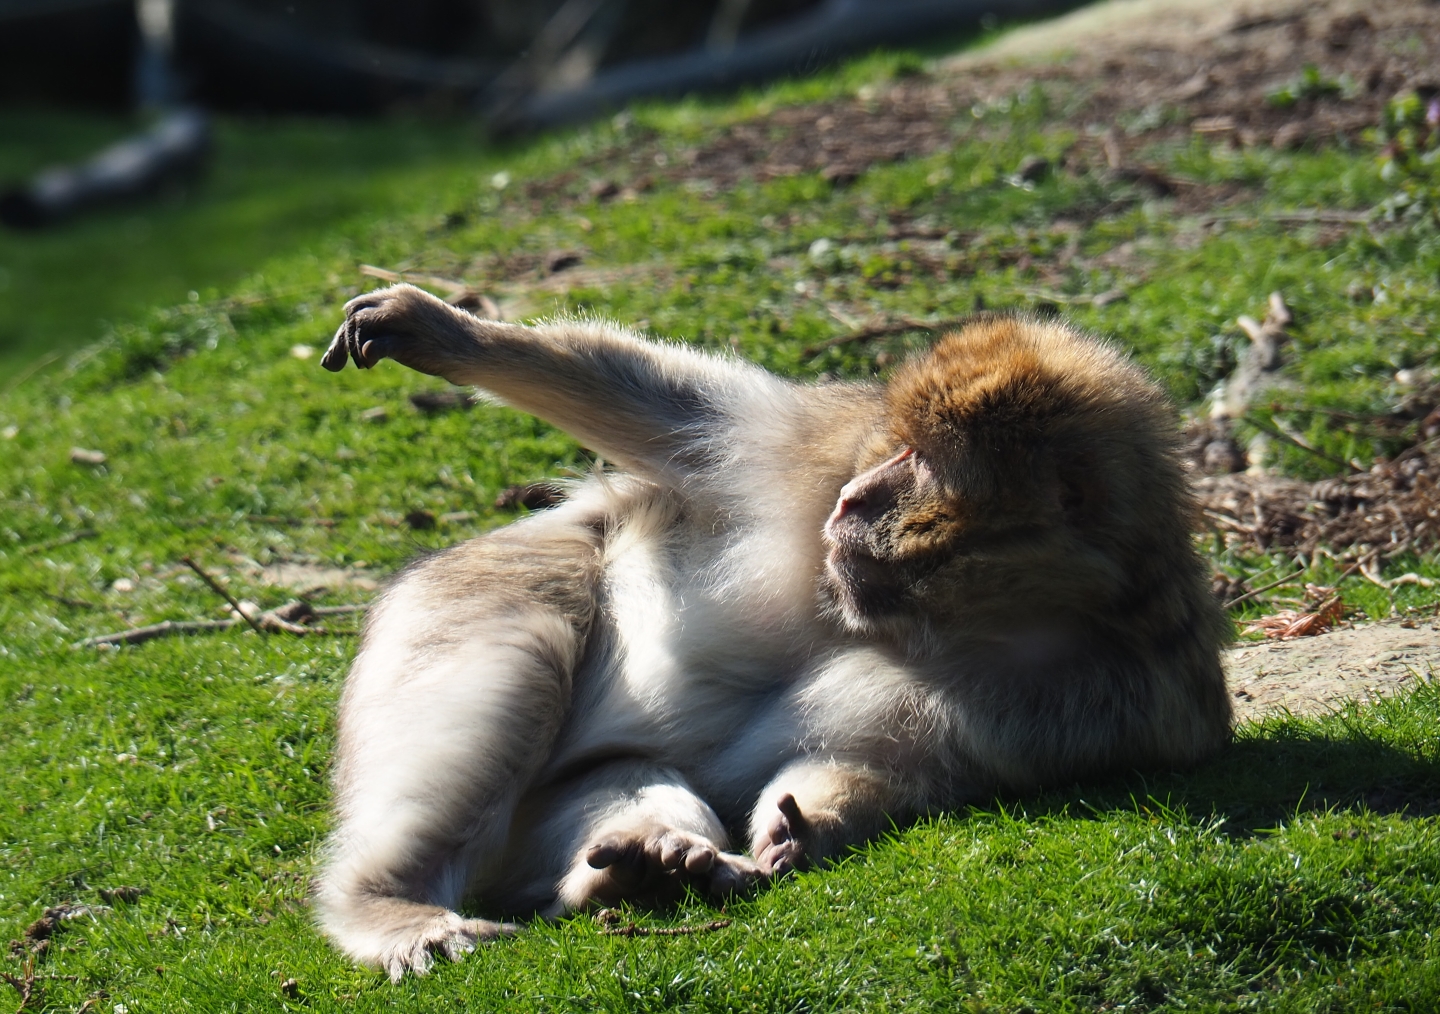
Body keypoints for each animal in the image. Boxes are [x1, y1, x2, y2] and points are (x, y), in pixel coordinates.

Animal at [314, 284, 1232, 981]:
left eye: (922, 464)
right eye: (896, 449)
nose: (856, 499)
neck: (940, 612)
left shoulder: (1119, 699)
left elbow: (895, 764)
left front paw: (806, 827)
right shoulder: (818, 453)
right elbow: (669, 414)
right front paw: (439, 330)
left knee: (611, 775)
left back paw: (642, 869)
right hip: (461, 591)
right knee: (519, 662)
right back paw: (390, 905)